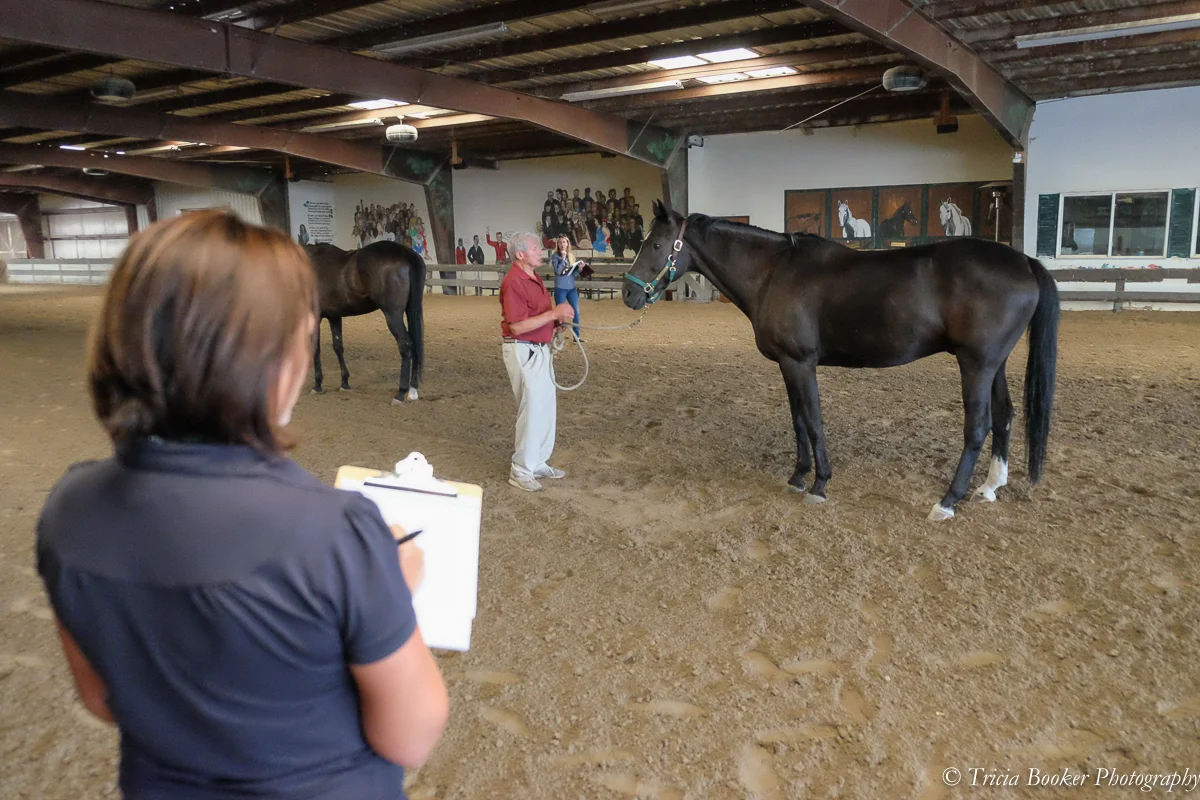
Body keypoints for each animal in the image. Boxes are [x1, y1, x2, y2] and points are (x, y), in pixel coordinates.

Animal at [303, 240, 425, 404]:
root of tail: (406, 253)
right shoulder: (334, 316)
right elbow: (338, 347)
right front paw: (344, 382)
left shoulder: (315, 317)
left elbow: (315, 349)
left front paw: (317, 385)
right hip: (411, 310)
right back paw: (413, 390)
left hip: (393, 315)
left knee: (405, 345)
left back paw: (400, 393)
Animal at [623, 201, 1059, 521]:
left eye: (656, 245)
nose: (628, 294)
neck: (774, 273)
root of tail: (1024, 262)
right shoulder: (787, 364)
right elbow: (798, 421)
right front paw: (798, 476)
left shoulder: (801, 363)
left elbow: (814, 422)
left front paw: (820, 484)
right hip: (994, 365)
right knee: (1004, 415)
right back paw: (989, 487)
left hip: (976, 364)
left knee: (978, 426)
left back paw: (948, 500)